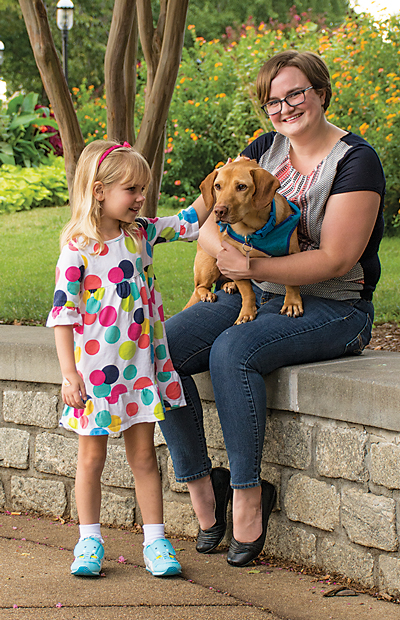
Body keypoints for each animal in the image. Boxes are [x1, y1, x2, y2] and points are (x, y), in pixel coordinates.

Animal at [184, 159, 304, 324]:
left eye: (241, 187)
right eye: (217, 186)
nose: (218, 211)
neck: (254, 230)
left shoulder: (291, 253)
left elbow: (291, 283)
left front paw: (292, 303)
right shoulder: (233, 263)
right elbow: (247, 292)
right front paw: (247, 312)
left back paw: (230, 284)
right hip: (209, 263)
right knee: (200, 286)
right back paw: (208, 293)